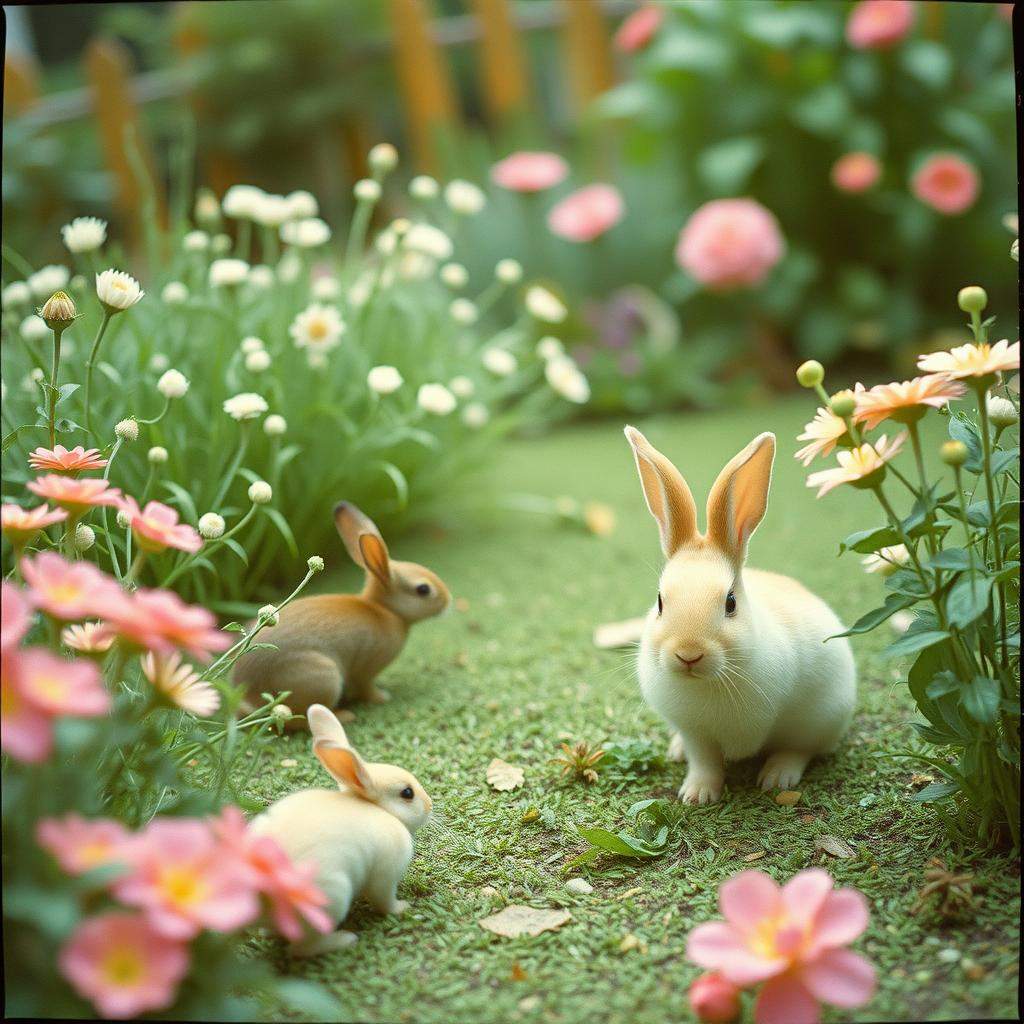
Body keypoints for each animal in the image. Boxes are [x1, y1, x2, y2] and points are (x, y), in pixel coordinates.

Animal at [233, 502, 450, 725]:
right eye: (423, 590)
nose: (448, 601)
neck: (385, 610)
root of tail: (250, 699)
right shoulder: (366, 671)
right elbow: (367, 688)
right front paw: (382, 697)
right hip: (325, 678)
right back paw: (344, 716)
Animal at [249, 703, 433, 956]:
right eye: (407, 793)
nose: (430, 805)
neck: (381, 810)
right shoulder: (385, 876)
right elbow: (384, 901)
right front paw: (402, 907)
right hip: (331, 897)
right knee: (300, 949)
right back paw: (345, 939)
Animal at [623, 426, 856, 805]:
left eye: (730, 602)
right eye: (659, 602)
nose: (688, 654)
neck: (709, 682)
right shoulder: (696, 734)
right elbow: (704, 761)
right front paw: (697, 795)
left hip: (820, 717)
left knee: (799, 749)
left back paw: (778, 778)